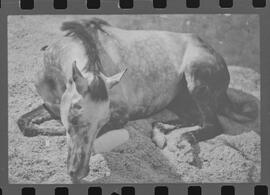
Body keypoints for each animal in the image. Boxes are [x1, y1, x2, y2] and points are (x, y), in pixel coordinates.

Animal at [16, 17, 258, 182]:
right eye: (75, 114)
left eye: (101, 123)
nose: (79, 172)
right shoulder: (52, 105)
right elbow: (25, 123)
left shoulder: (120, 115)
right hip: (180, 100)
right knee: (193, 118)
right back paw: (161, 135)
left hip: (196, 79)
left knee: (212, 124)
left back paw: (185, 143)